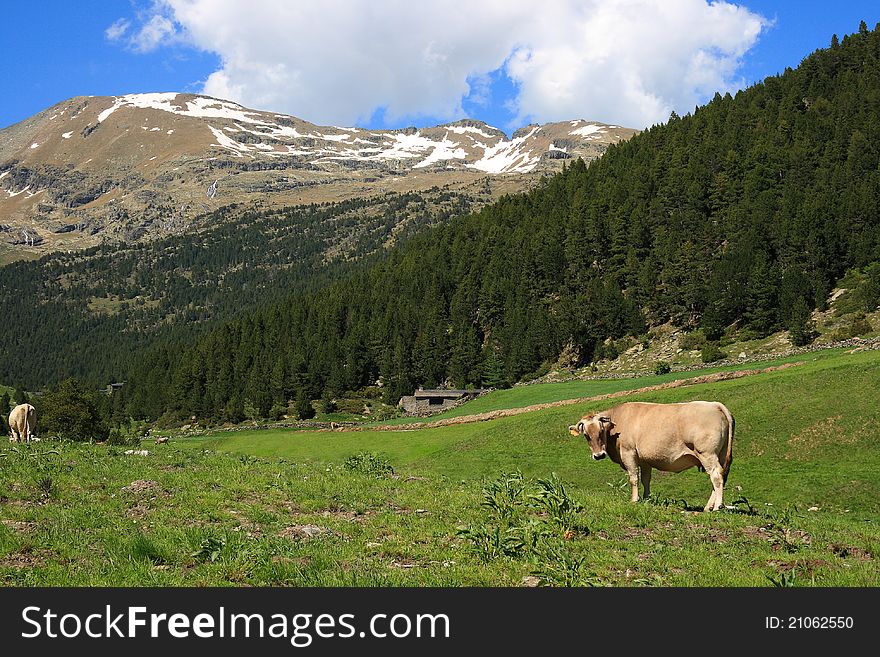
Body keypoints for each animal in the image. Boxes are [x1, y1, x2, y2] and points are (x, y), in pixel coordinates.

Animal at [568, 400, 732, 512]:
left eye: (601, 431)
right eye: (586, 435)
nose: (599, 455)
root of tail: (714, 404)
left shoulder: (628, 453)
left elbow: (634, 478)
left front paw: (634, 500)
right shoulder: (644, 460)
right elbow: (646, 480)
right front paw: (647, 499)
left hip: (707, 454)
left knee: (716, 476)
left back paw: (717, 507)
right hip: (721, 454)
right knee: (721, 476)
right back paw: (708, 507)